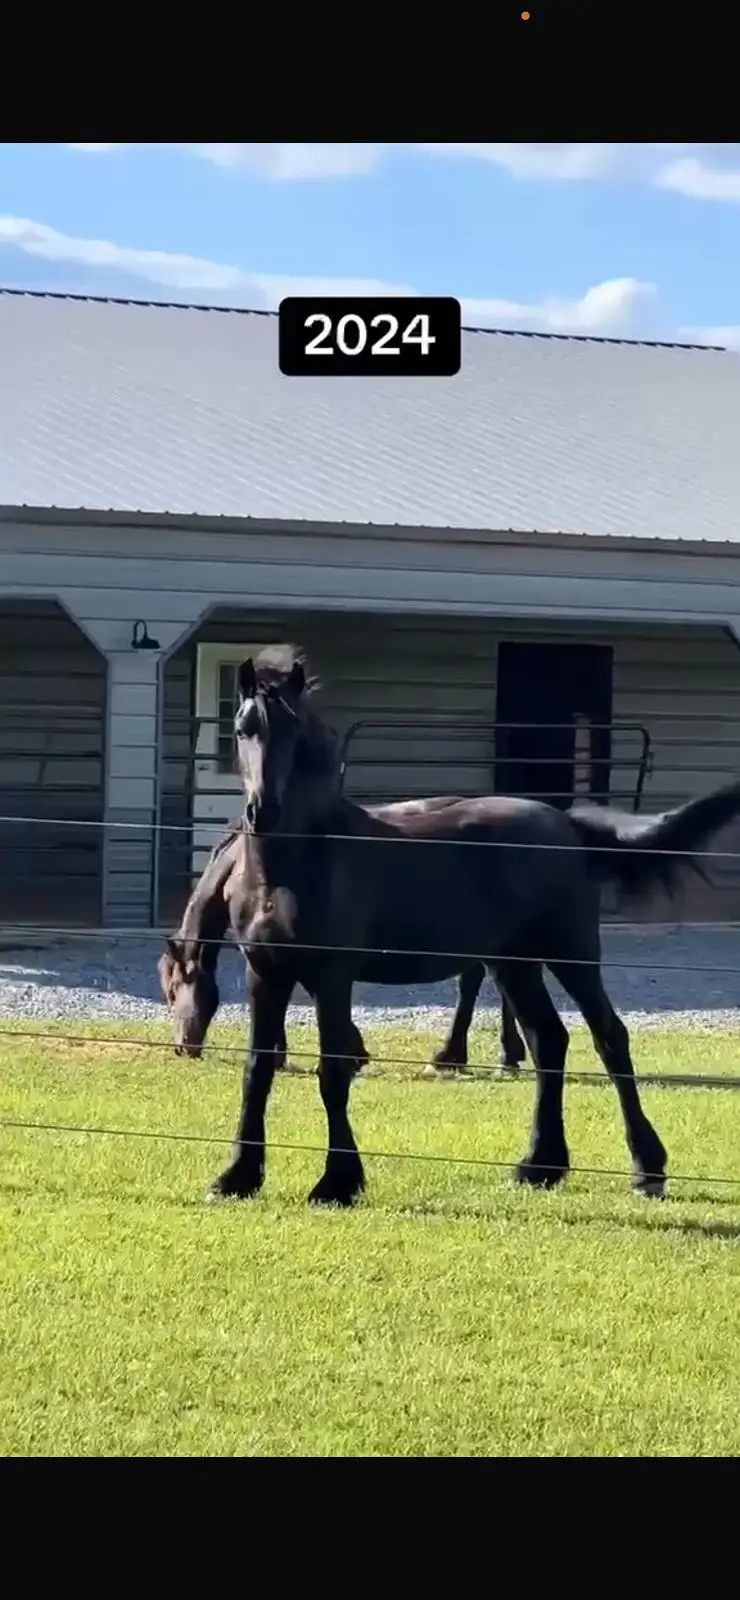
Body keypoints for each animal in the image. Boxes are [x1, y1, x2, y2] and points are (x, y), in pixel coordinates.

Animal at [205, 645, 740, 1211]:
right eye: (241, 728)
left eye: (293, 729)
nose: (263, 812)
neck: (296, 865)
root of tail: (568, 825)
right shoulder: (265, 973)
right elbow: (257, 1071)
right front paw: (237, 1175)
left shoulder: (332, 976)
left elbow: (332, 1073)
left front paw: (337, 1182)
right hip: (515, 964)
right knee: (549, 1040)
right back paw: (539, 1166)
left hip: (569, 952)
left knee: (609, 1037)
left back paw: (646, 1169)